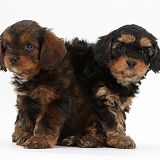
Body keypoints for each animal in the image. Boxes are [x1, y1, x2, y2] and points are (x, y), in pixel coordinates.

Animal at [0, 20, 107, 149]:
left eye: (29, 46)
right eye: (8, 46)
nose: (12, 58)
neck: (38, 75)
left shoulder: (54, 102)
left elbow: (45, 123)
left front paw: (39, 140)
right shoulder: (25, 101)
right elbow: (27, 121)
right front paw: (26, 136)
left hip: (94, 119)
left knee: (99, 133)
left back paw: (89, 139)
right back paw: (69, 139)